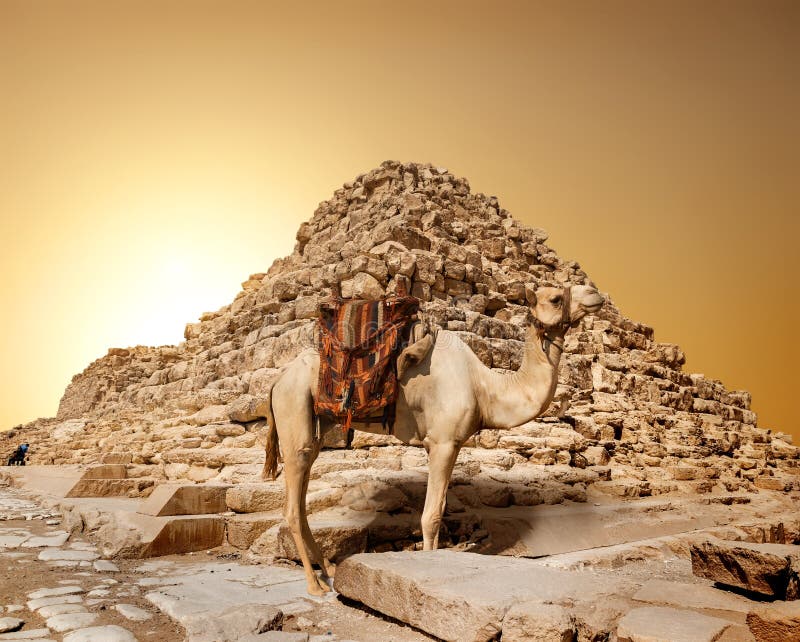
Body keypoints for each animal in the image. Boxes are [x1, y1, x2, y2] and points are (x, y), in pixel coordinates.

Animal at [261, 284, 604, 595]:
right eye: (555, 298)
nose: (595, 293)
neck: (484, 387)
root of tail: (277, 379)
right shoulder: (442, 442)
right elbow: (432, 517)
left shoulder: (450, 443)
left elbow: (437, 511)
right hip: (294, 407)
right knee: (292, 508)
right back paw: (315, 586)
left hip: (314, 425)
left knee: (301, 498)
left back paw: (329, 569)